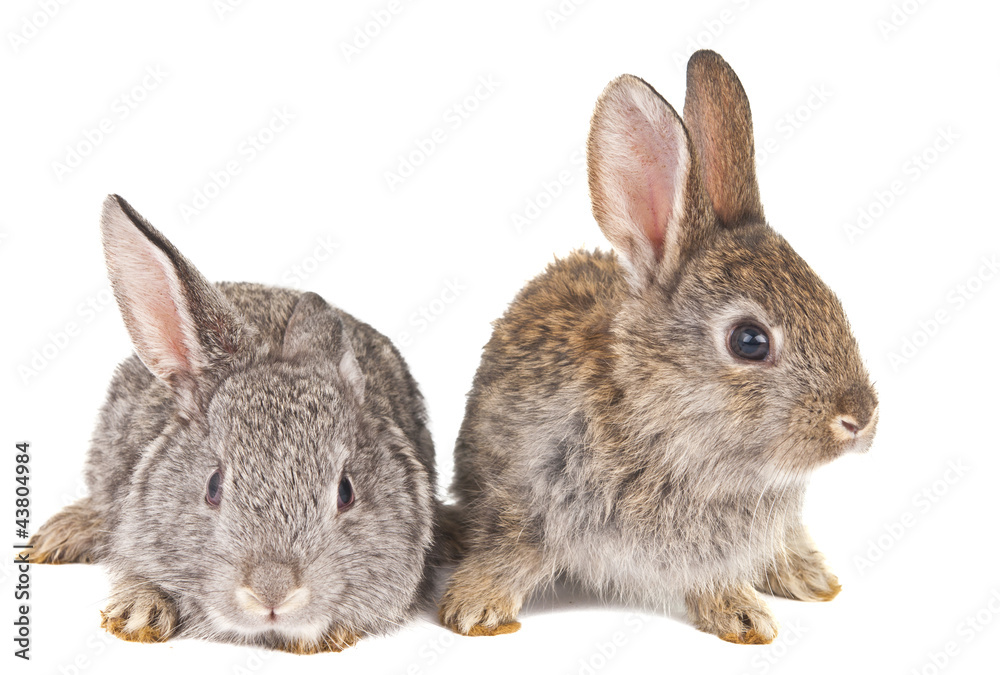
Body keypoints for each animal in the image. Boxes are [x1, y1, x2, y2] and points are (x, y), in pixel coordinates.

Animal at [439, 50, 878, 645]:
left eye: (833, 301)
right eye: (749, 341)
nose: (859, 417)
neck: (663, 425)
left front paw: (743, 614)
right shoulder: (522, 502)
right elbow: (510, 552)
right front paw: (474, 609)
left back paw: (806, 576)